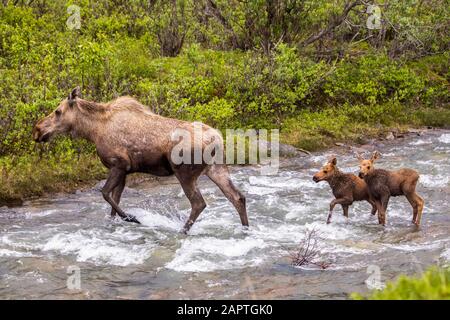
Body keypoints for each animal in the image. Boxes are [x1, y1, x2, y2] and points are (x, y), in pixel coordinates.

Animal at [32, 86, 250, 234]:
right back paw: (245, 229)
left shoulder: (119, 164)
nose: (37, 130)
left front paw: (132, 218)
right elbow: (114, 200)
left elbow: (105, 194)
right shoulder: (124, 171)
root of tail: (218, 139)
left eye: (58, 111)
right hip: (216, 168)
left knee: (199, 203)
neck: (93, 131)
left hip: (184, 172)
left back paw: (181, 230)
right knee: (238, 197)